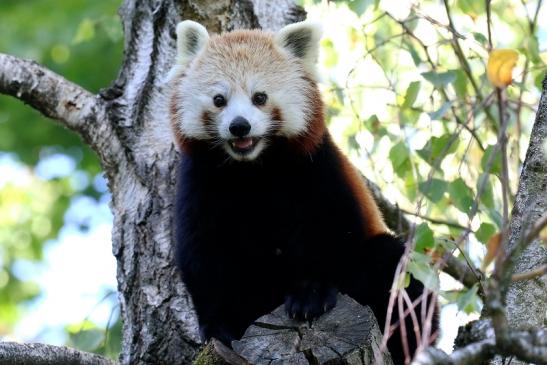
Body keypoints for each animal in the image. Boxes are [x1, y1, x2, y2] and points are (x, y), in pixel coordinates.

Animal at [169, 19, 434, 364]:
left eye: (260, 97)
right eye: (218, 99)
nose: (239, 126)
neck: (252, 170)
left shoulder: (315, 167)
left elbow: (330, 234)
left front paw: (310, 295)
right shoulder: (200, 183)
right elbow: (202, 256)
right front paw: (220, 327)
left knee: (398, 270)